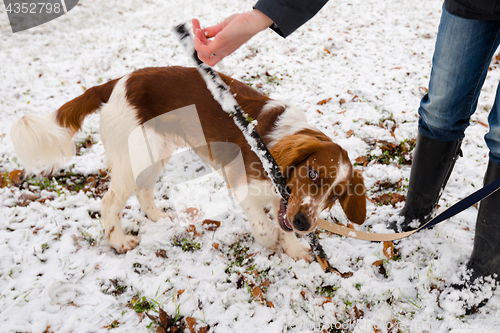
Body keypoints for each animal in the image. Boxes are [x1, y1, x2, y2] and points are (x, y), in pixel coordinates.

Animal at [9, 66, 366, 260]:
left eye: (336, 196)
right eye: (313, 173)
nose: (306, 223)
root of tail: (116, 83)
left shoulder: (286, 204)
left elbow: (282, 222)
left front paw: (293, 248)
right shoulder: (242, 186)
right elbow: (265, 227)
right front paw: (271, 242)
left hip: (155, 153)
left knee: (144, 191)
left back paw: (159, 218)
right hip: (136, 157)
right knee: (111, 203)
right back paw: (120, 242)